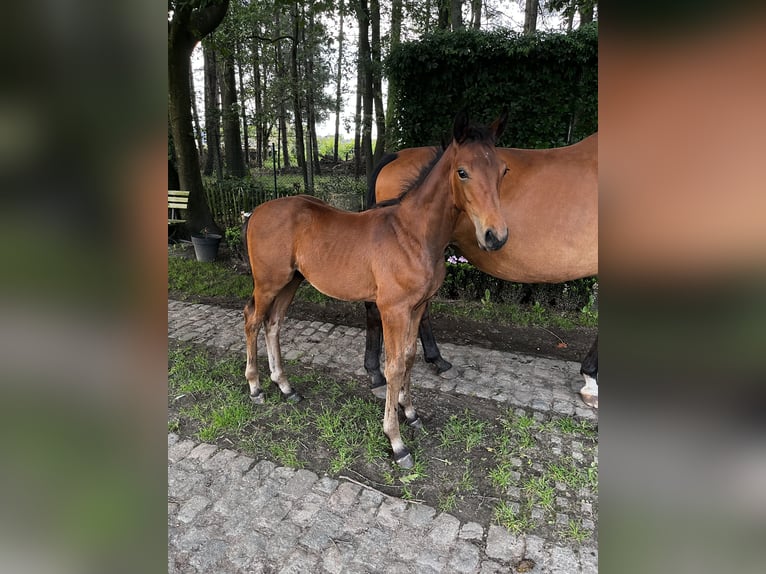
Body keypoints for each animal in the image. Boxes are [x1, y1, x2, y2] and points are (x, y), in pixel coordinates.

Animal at [244, 111, 510, 468]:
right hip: (268, 282)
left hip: (291, 281)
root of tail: (256, 211)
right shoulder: (392, 309)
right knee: (252, 321)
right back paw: (256, 388)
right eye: (462, 171)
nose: (495, 236)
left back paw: (286, 387)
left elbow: (410, 357)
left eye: (503, 170)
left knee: (273, 325)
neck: (412, 234)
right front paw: (396, 441)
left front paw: (410, 412)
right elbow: (393, 365)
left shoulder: (417, 307)